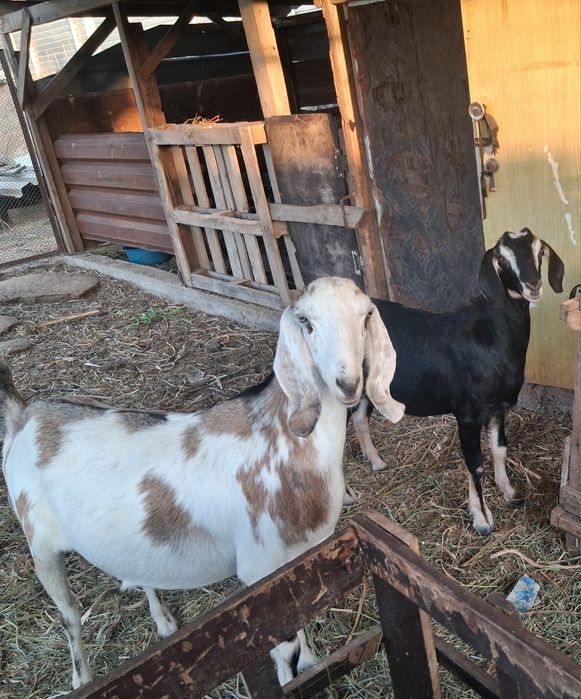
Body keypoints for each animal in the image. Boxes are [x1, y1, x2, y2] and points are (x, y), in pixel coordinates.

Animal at [0, 276, 404, 690]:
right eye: (305, 321)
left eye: (366, 315)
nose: (347, 383)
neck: (283, 440)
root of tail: (26, 414)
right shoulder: (259, 568)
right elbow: (280, 640)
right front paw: (292, 674)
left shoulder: (300, 559)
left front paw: (310, 661)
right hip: (40, 544)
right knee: (70, 615)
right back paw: (81, 677)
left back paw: (162, 620)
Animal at [351, 228, 564, 535]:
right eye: (501, 258)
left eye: (539, 250)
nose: (533, 284)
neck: (490, 337)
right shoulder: (467, 412)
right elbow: (475, 463)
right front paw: (483, 520)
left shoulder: (497, 408)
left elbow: (500, 449)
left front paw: (509, 493)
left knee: (359, 417)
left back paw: (377, 462)